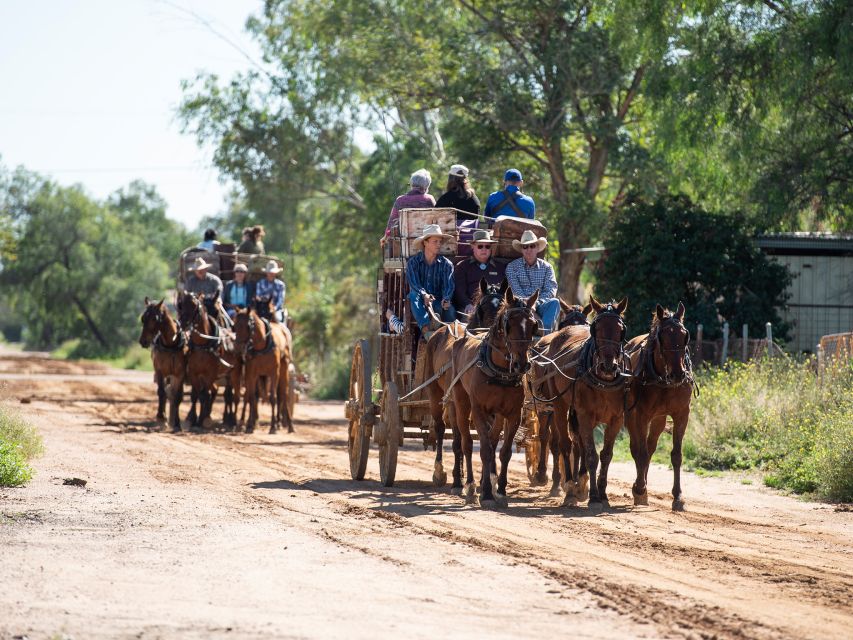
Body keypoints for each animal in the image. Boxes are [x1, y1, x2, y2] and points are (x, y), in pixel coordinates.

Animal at [137, 298, 186, 430]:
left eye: (155, 319)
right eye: (143, 318)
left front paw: (177, 424)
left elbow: (177, 396)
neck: (171, 344)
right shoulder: (159, 370)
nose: (143, 341)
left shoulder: (180, 374)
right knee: (164, 392)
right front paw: (161, 417)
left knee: (171, 393)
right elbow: (161, 392)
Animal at [450, 288, 536, 508]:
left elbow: (504, 451)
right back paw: (471, 486)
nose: (522, 364)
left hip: (497, 414)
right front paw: (487, 493)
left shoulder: (513, 414)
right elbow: (485, 450)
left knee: (492, 438)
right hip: (461, 403)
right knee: (466, 443)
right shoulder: (479, 410)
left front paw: (501, 491)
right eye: (509, 324)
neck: (499, 372)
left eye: (533, 325)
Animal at [536, 298, 628, 512]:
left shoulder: (616, 419)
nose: (608, 366)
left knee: (576, 444)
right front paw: (593, 497)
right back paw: (569, 488)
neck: (603, 381)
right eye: (597, 329)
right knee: (564, 443)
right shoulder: (585, 414)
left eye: (621, 330)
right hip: (558, 404)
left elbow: (606, 455)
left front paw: (602, 495)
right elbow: (591, 455)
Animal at [624, 304, 696, 510]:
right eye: (662, 337)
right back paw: (640, 488)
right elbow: (640, 453)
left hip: (659, 419)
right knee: (637, 449)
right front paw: (639, 488)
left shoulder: (682, 414)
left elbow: (676, 455)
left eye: (685, 335)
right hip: (632, 416)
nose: (678, 374)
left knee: (650, 447)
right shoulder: (641, 415)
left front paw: (678, 497)